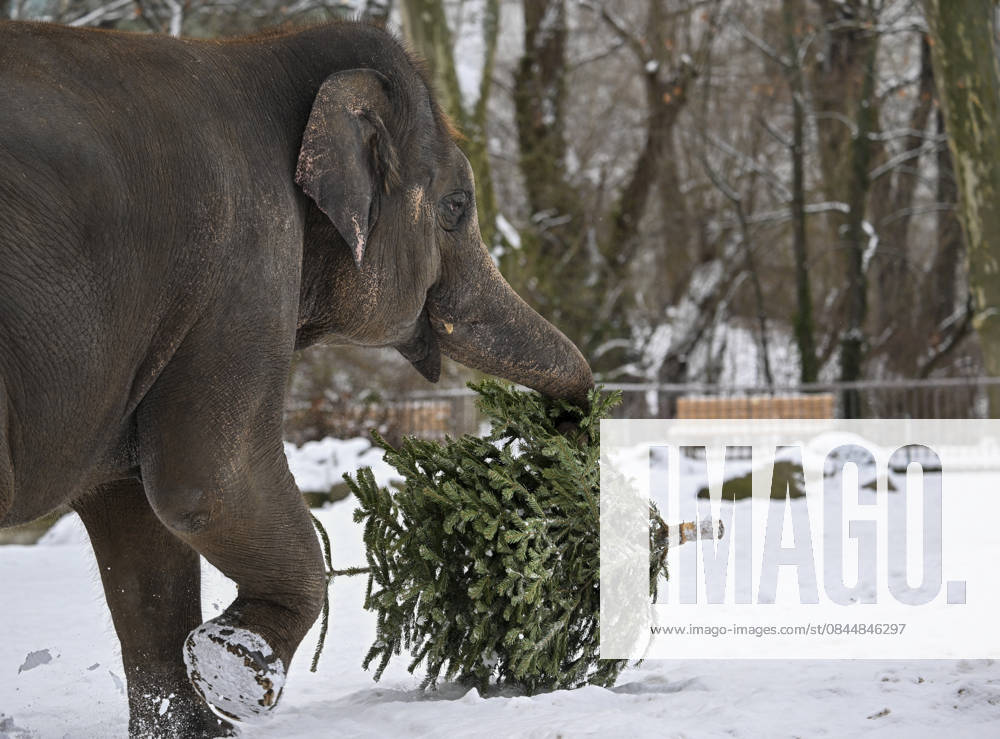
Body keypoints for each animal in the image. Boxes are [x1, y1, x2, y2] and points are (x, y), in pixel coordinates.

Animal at [0, 19, 593, 738]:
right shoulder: (246, 266)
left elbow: (139, 528)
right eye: (456, 206)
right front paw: (233, 664)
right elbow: (209, 484)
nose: (565, 431)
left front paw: (193, 718)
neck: (264, 51)